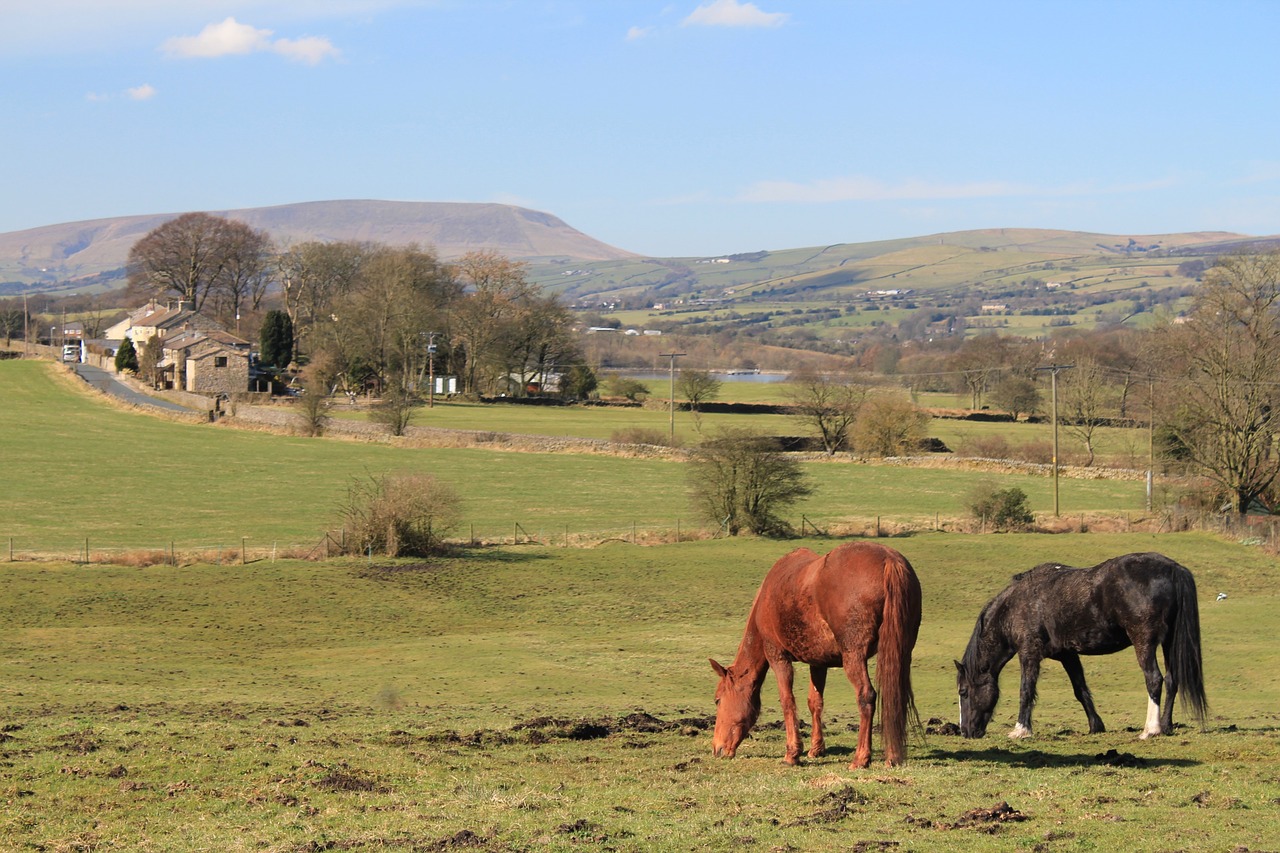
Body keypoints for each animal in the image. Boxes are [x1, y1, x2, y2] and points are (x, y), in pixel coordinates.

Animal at [711, 540, 921, 768]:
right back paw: (892, 756)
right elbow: (815, 702)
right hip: (901, 653)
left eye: (718, 700)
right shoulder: (819, 662)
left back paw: (860, 758)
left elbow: (787, 700)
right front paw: (816, 749)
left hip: (854, 657)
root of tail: (888, 559)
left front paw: (792, 754)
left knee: (866, 696)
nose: (716, 748)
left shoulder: (778, 656)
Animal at [957, 550, 1203, 737]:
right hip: (1168, 642)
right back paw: (1167, 725)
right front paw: (1096, 726)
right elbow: (1080, 689)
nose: (966, 732)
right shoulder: (1067, 655)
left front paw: (1021, 730)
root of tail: (1173, 568)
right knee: (1171, 680)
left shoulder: (1028, 653)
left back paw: (1151, 729)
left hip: (1144, 642)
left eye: (963, 691)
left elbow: (1026, 689)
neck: (1017, 605)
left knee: (1154, 679)